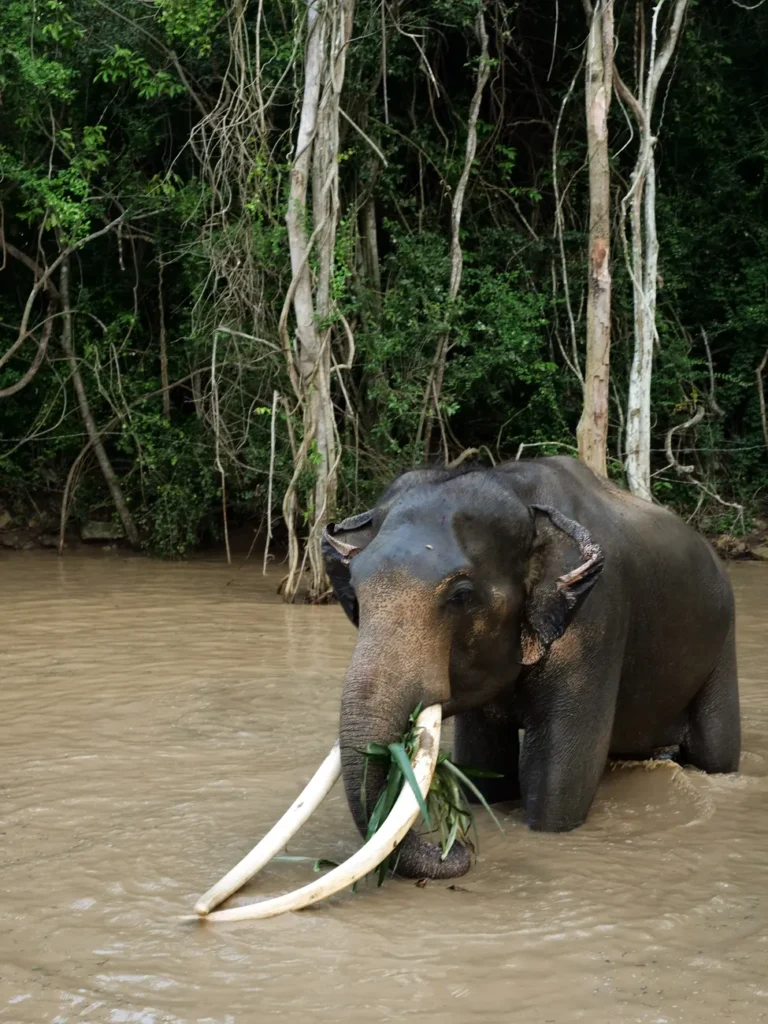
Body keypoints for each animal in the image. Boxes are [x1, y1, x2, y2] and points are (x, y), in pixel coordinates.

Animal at [321, 455, 740, 881]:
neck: (519, 492)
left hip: (723, 640)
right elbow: (487, 768)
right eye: (356, 593)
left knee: (716, 753)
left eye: (461, 596)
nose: (454, 848)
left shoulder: (597, 622)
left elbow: (558, 783)